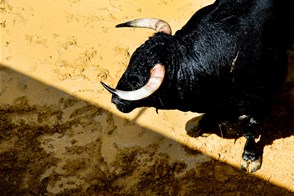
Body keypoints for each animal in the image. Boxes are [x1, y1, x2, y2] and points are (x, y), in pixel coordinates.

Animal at [101, 0, 294, 172]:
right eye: (131, 61)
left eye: (136, 80)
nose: (115, 100)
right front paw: (202, 124)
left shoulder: (263, 102)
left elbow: (249, 129)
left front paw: (250, 158)